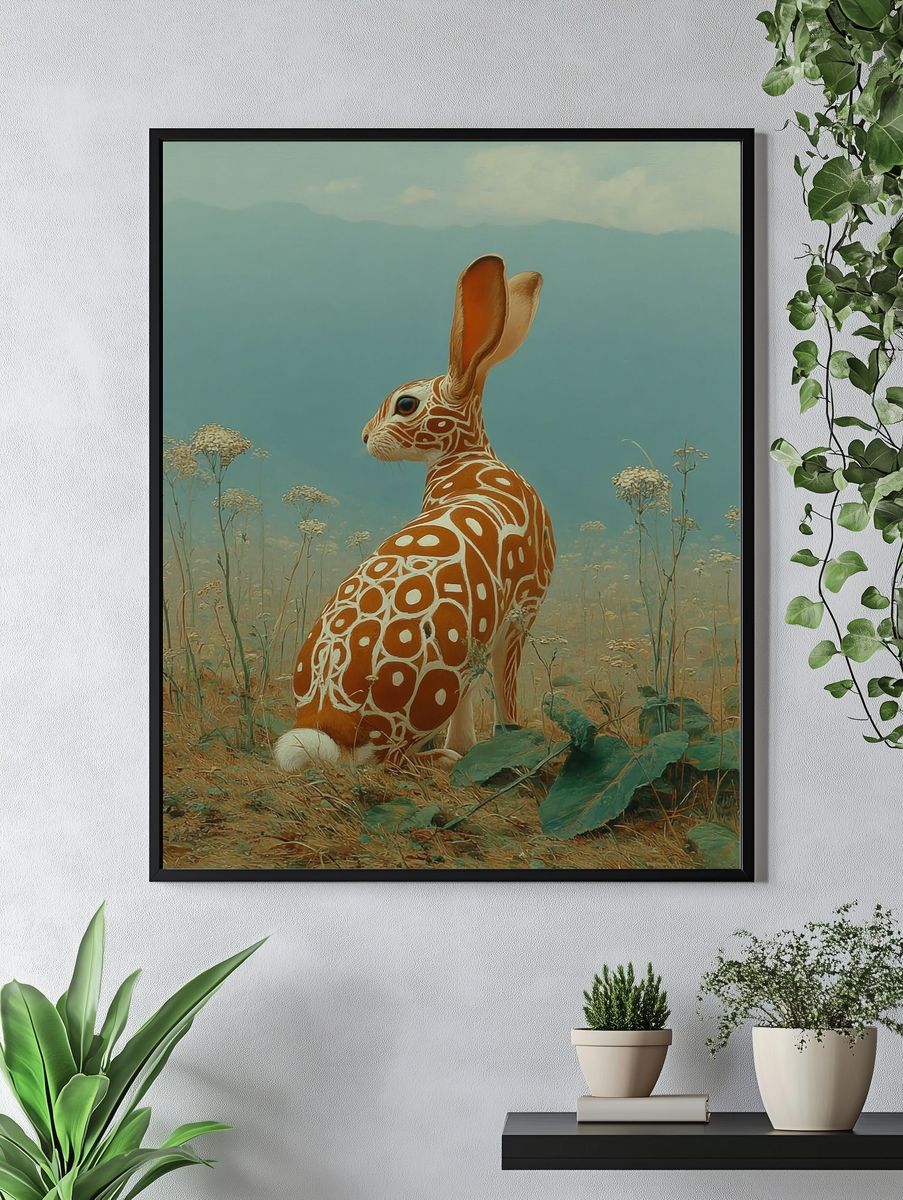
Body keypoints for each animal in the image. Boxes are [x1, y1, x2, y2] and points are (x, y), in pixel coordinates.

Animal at [275, 254, 556, 771]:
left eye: (406, 404)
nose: (366, 436)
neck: (469, 461)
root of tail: (328, 724)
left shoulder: (507, 624)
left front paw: (473, 745)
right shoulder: (520, 612)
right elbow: (503, 689)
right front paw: (494, 743)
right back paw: (441, 759)